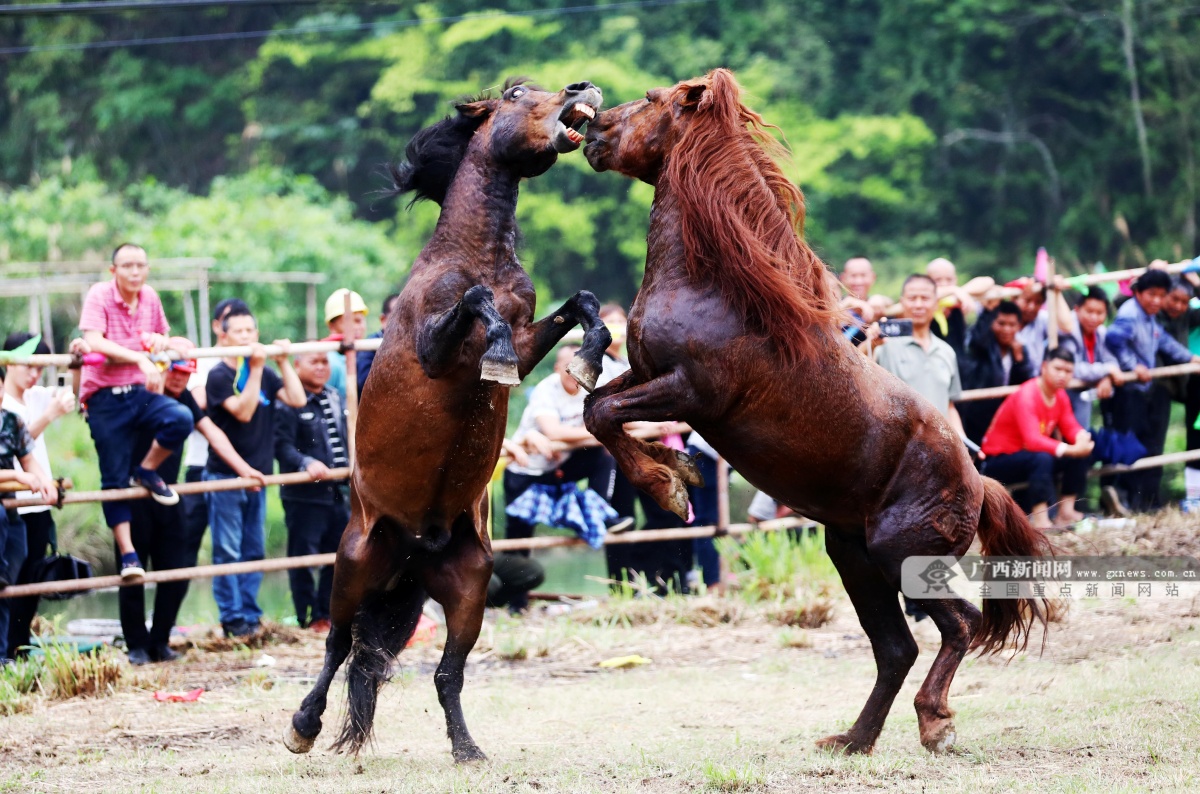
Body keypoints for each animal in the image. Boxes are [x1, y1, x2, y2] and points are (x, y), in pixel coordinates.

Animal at [283, 80, 609, 767]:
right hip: (353, 565)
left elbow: (582, 305)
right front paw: (498, 350)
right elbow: (477, 304)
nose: (581, 88)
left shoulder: (533, 333)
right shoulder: (435, 352)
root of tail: (414, 549)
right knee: (336, 646)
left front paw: (589, 360)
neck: (474, 254)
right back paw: (302, 726)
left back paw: (468, 750)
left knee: (444, 673)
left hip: (468, 588)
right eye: (516, 93)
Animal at [580, 69, 1051, 758]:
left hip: (899, 555)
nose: (587, 117)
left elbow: (604, 414)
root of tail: (977, 480)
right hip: (852, 556)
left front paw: (669, 486)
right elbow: (596, 406)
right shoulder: (646, 374)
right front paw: (675, 471)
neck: (720, 288)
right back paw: (853, 740)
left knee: (958, 624)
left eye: (648, 99)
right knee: (896, 648)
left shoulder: (690, 392)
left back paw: (935, 723)